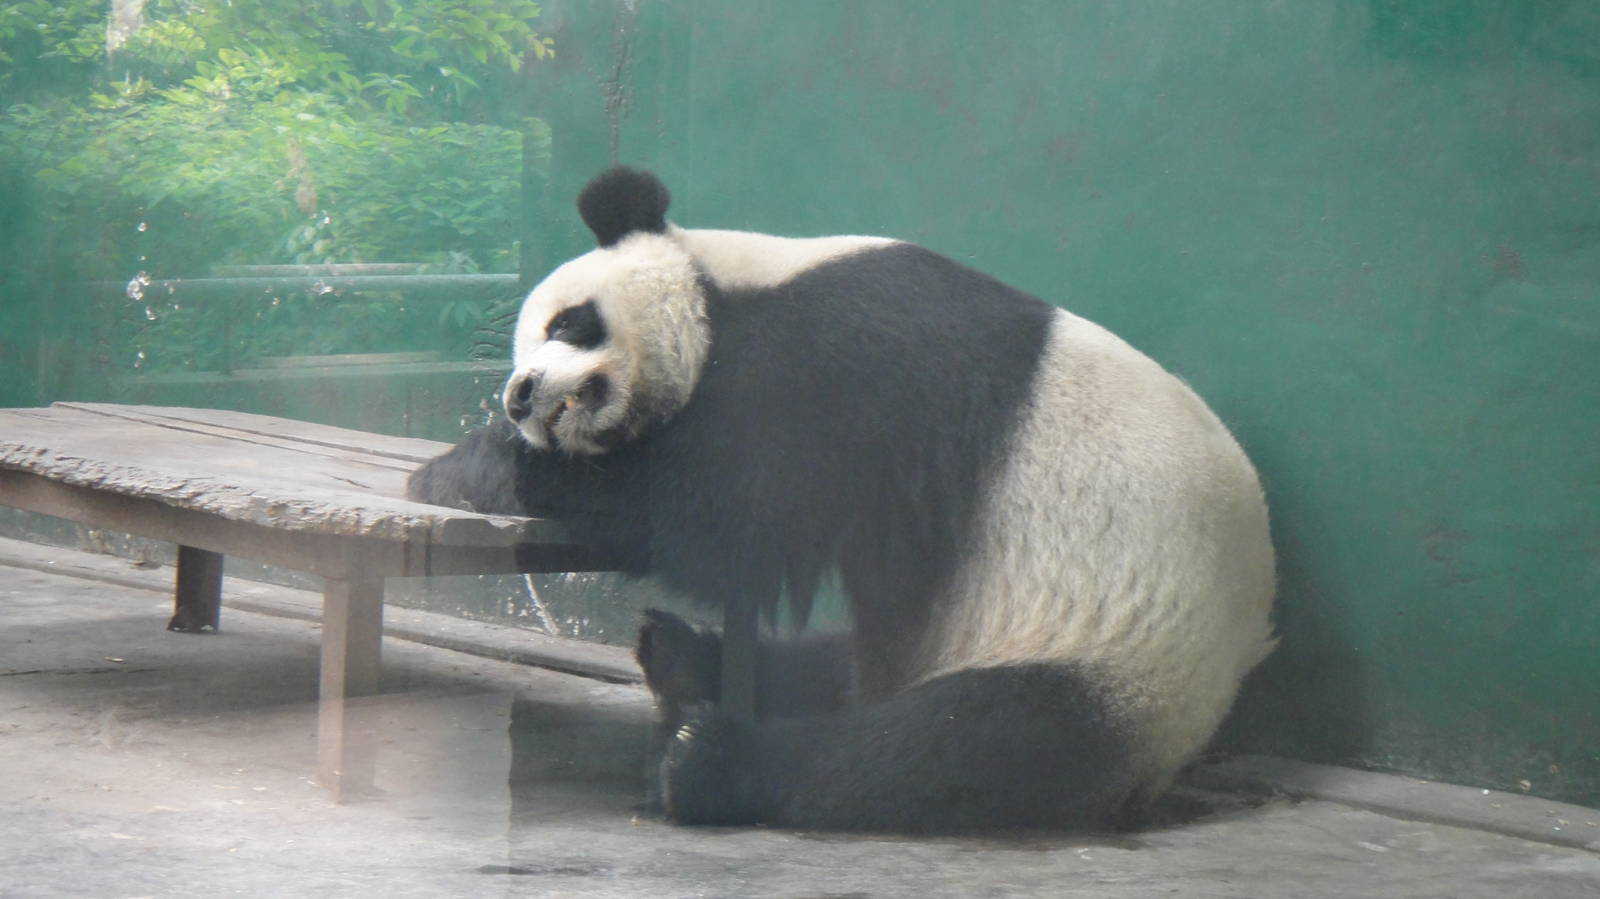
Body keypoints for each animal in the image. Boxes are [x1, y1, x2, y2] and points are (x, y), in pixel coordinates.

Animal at [407, 166, 1277, 834]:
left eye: (568, 322)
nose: (521, 394)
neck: (731, 291)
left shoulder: (839, 363)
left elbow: (731, 513)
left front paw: (465, 468)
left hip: (1109, 653)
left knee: (966, 746)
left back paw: (712, 761)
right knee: (835, 667)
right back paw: (683, 655)